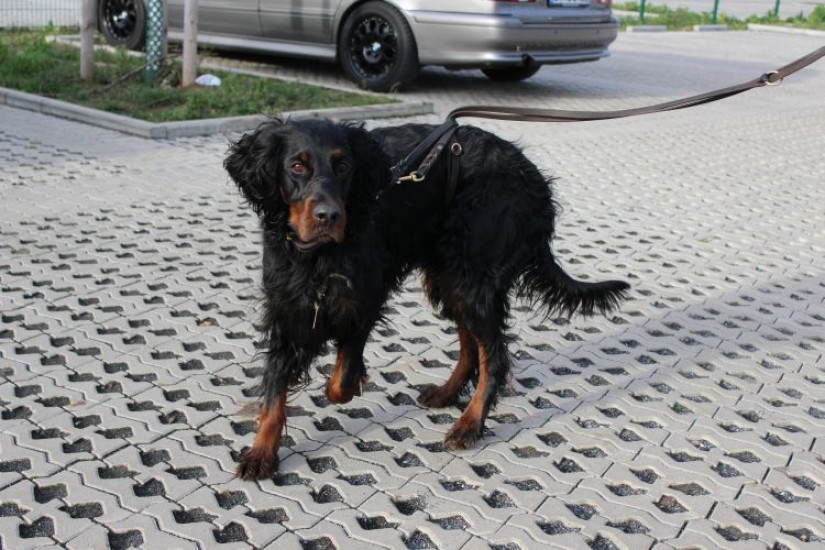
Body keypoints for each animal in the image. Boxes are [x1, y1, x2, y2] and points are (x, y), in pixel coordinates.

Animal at [224, 118, 629, 480]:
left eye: (344, 166)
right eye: (296, 165)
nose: (329, 216)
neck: (318, 254)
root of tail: (534, 182)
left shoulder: (367, 295)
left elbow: (341, 376)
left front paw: (350, 380)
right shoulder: (286, 309)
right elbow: (274, 392)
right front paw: (261, 453)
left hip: (472, 275)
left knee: (494, 357)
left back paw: (469, 424)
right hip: (448, 274)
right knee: (471, 345)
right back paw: (447, 394)